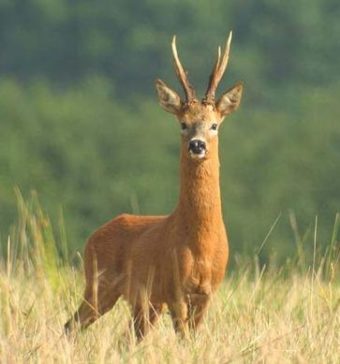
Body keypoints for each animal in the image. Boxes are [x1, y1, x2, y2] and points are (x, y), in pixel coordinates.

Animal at [64, 32, 242, 340]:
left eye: (214, 125)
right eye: (183, 123)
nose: (197, 145)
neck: (201, 246)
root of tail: (94, 235)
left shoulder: (207, 293)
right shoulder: (174, 289)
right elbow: (183, 339)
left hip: (144, 302)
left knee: (126, 337)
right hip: (99, 284)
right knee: (71, 325)